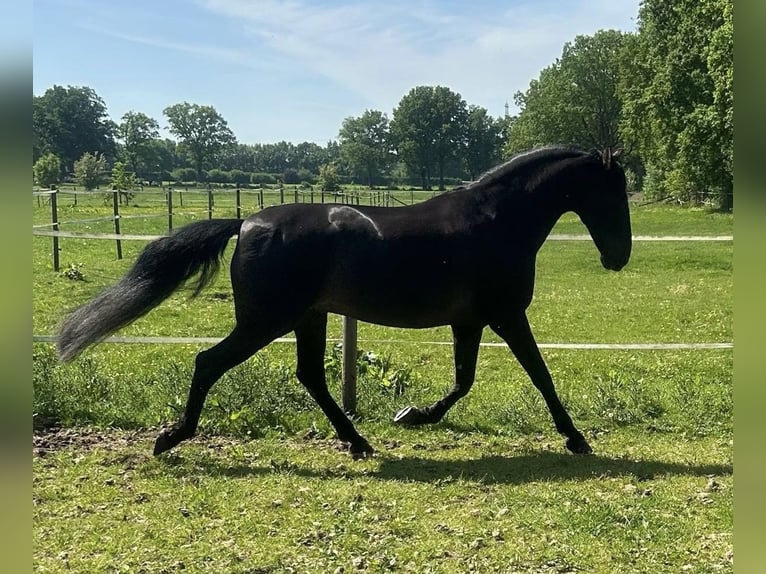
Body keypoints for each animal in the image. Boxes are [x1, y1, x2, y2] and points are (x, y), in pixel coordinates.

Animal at [57, 145, 631, 459]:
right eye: (615, 193)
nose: (619, 256)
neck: (494, 221)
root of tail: (246, 222)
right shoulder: (507, 316)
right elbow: (540, 375)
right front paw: (576, 438)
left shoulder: (470, 322)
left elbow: (463, 382)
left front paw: (412, 415)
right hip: (266, 321)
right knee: (209, 361)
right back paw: (173, 437)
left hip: (307, 317)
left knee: (310, 375)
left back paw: (357, 441)